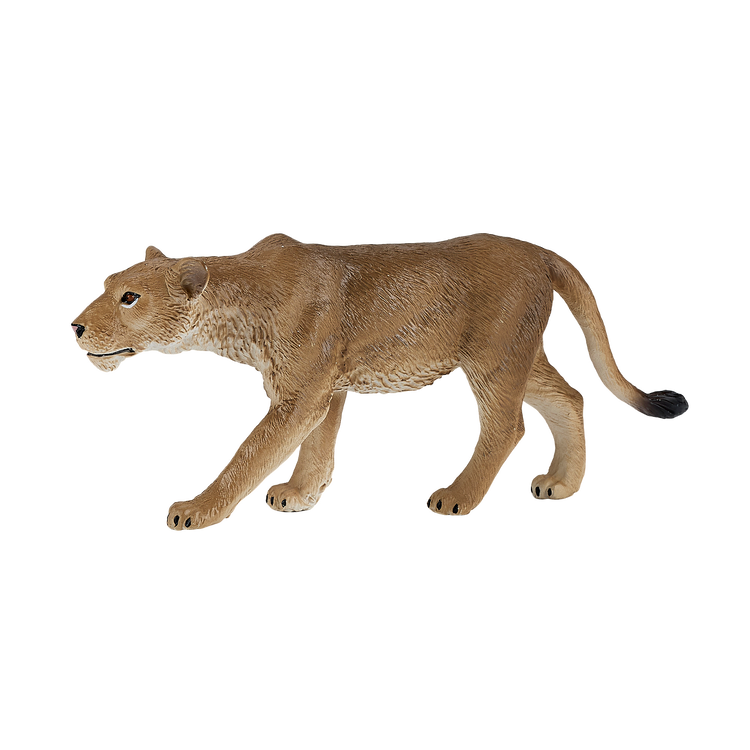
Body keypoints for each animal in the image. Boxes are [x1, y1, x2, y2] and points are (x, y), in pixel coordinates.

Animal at [68, 230, 690, 531]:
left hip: (492, 360)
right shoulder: (323, 390)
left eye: (130, 298)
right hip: (517, 357)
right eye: (105, 285)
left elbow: (250, 454)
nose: (73, 326)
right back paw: (560, 483)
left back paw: (458, 497)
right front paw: (299, 496)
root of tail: (543, 253)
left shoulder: (301, 394)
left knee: (507, 425)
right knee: (571, 397)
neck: (233, 311)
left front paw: (198, 510)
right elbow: (315, 449)